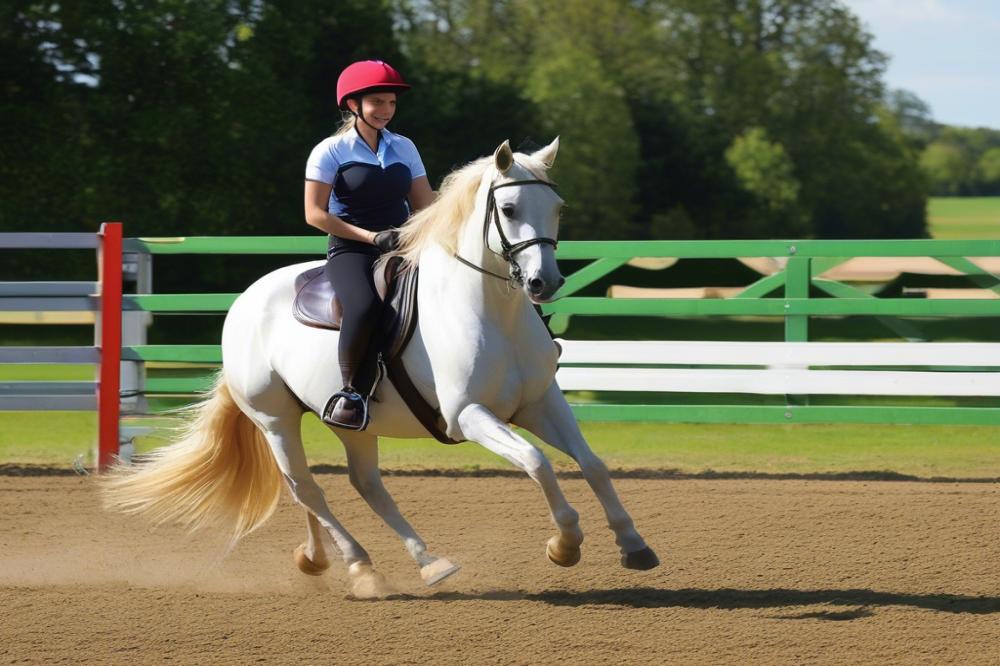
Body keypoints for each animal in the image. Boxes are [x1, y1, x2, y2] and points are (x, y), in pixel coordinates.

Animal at [105, 137, 660, 592]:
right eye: (508, 206)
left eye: (558, 208)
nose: (546, 283)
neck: (490, 311)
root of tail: (246, 300)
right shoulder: (470, 416)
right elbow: (537, 463)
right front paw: (564, 544)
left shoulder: (540, 402)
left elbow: (592, 464)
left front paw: (634, 544)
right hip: (275, 419)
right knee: (304, 486)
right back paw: (358, 566)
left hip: (348, 421)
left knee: (361, 484)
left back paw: (402, 562)